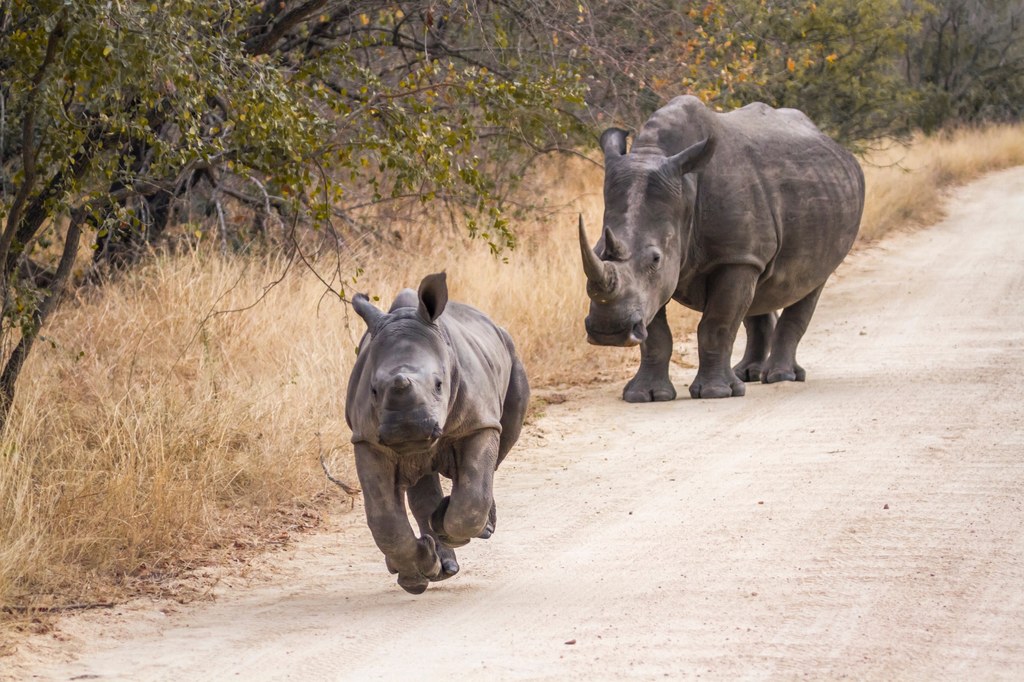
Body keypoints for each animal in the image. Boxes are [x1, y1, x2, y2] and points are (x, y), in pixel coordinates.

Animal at [348, 270, 532, 589]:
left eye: (438, 384)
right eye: (373, 390)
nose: (408, 427)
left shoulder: (480, 423)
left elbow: (472, 495)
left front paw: (448, 527)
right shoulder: (367, 439)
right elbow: (384, 518)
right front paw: (417, 573)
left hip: (511, 353)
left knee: (501, 445)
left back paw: (469, 529)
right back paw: (436, 566)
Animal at [581, 95, 860, 399]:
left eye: (655, 258)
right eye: (596, 250)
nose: (609, 331)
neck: (686, 188)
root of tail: (835, 145)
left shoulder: (735, 256)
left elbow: (717, 324)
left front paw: (716, 392)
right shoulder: (663, 279)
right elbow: (655, 333)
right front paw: (645, 396)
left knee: (810, 283)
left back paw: (780, 377)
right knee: (759, 294)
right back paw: (749, 374)